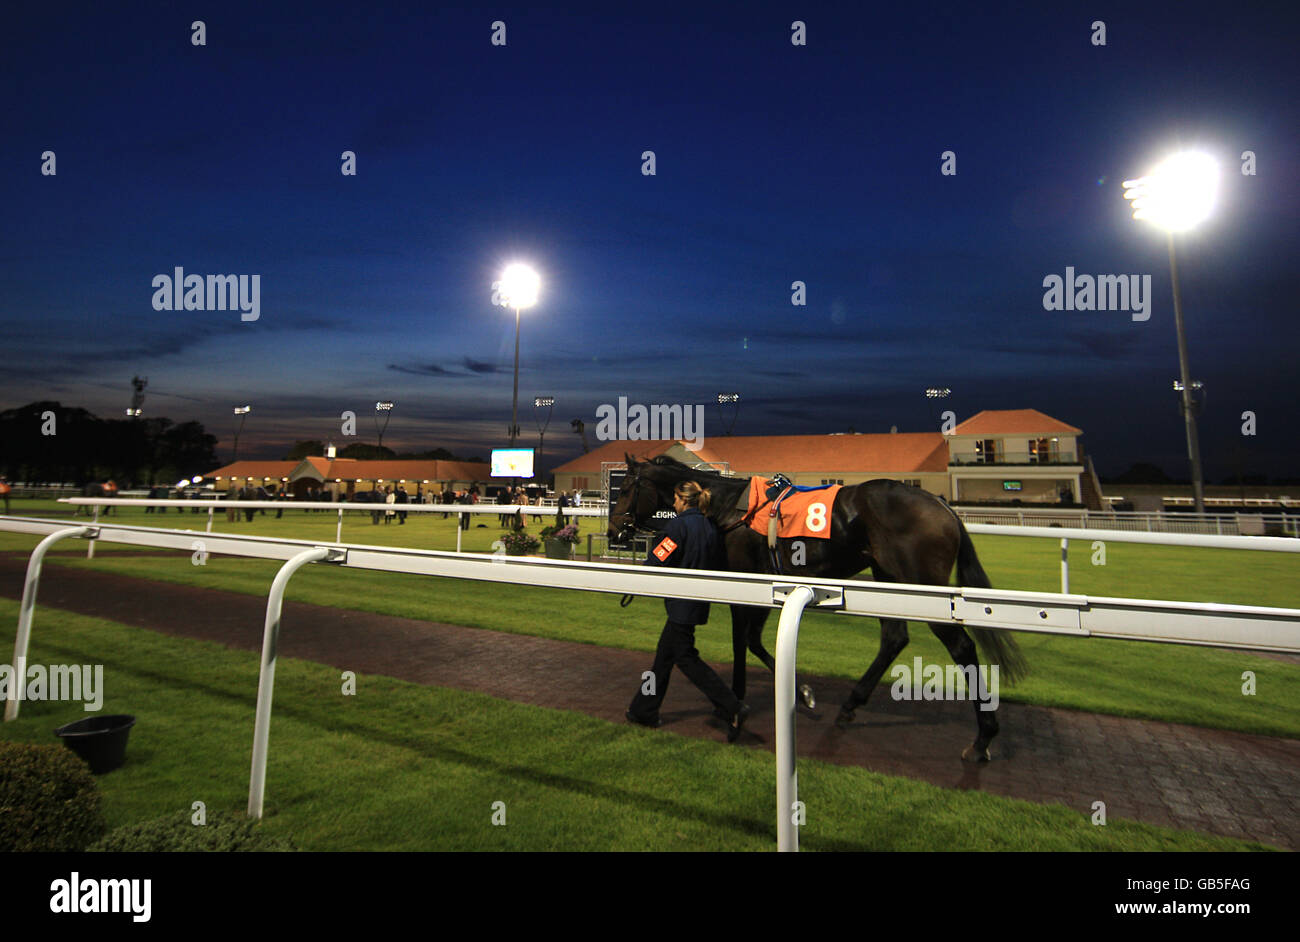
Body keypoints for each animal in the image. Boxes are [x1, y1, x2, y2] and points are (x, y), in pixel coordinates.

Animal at [605, 454, 1024, 758]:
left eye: (624, 488)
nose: (614, 531)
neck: (727, 508)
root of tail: (943, 506)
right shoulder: (765, 584)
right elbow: (754, 641)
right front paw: (801, 692)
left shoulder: (743, 585)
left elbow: (742, 643)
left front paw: (736, 709)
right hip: (888, 575)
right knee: (894, 637)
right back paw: (850, 706)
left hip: (924, 587)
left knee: (961, 646)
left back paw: (983, 738)